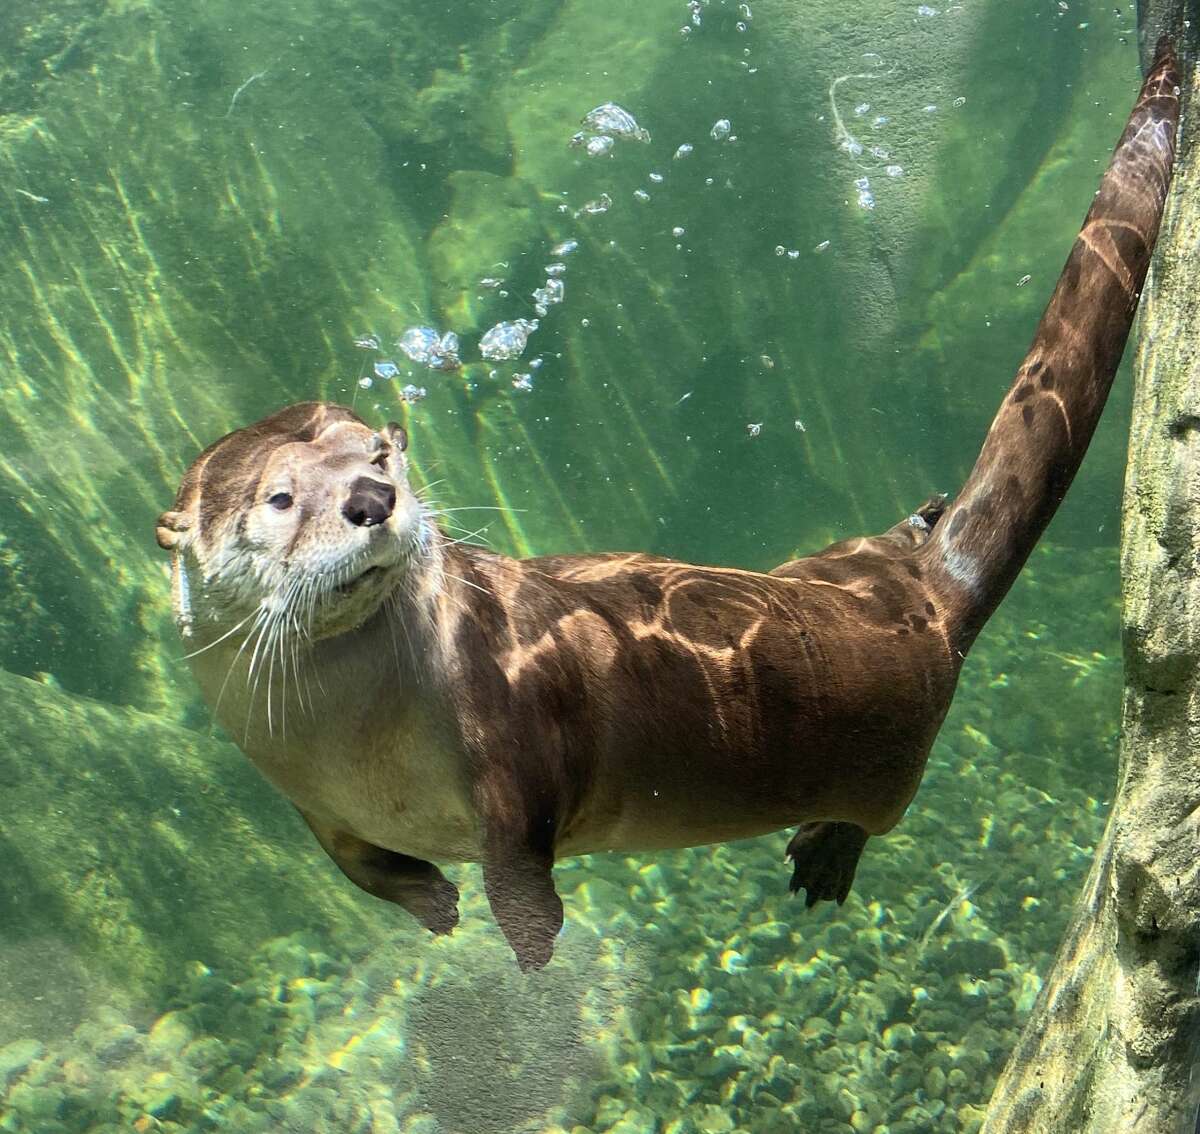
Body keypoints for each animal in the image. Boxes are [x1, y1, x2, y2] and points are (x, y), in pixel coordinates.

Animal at [157, 43, 1180, 970]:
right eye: (283, 496)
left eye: (380, 455)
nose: (373, 499)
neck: (357, 738)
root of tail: (931, 601)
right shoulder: (306, 799)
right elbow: (358, 869)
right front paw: (431, 905)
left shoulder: (506, 730)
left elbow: (520, 852)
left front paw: (527, 939)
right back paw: (918, 519)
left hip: (891, 757)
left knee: (880, 809)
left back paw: (826, 852)